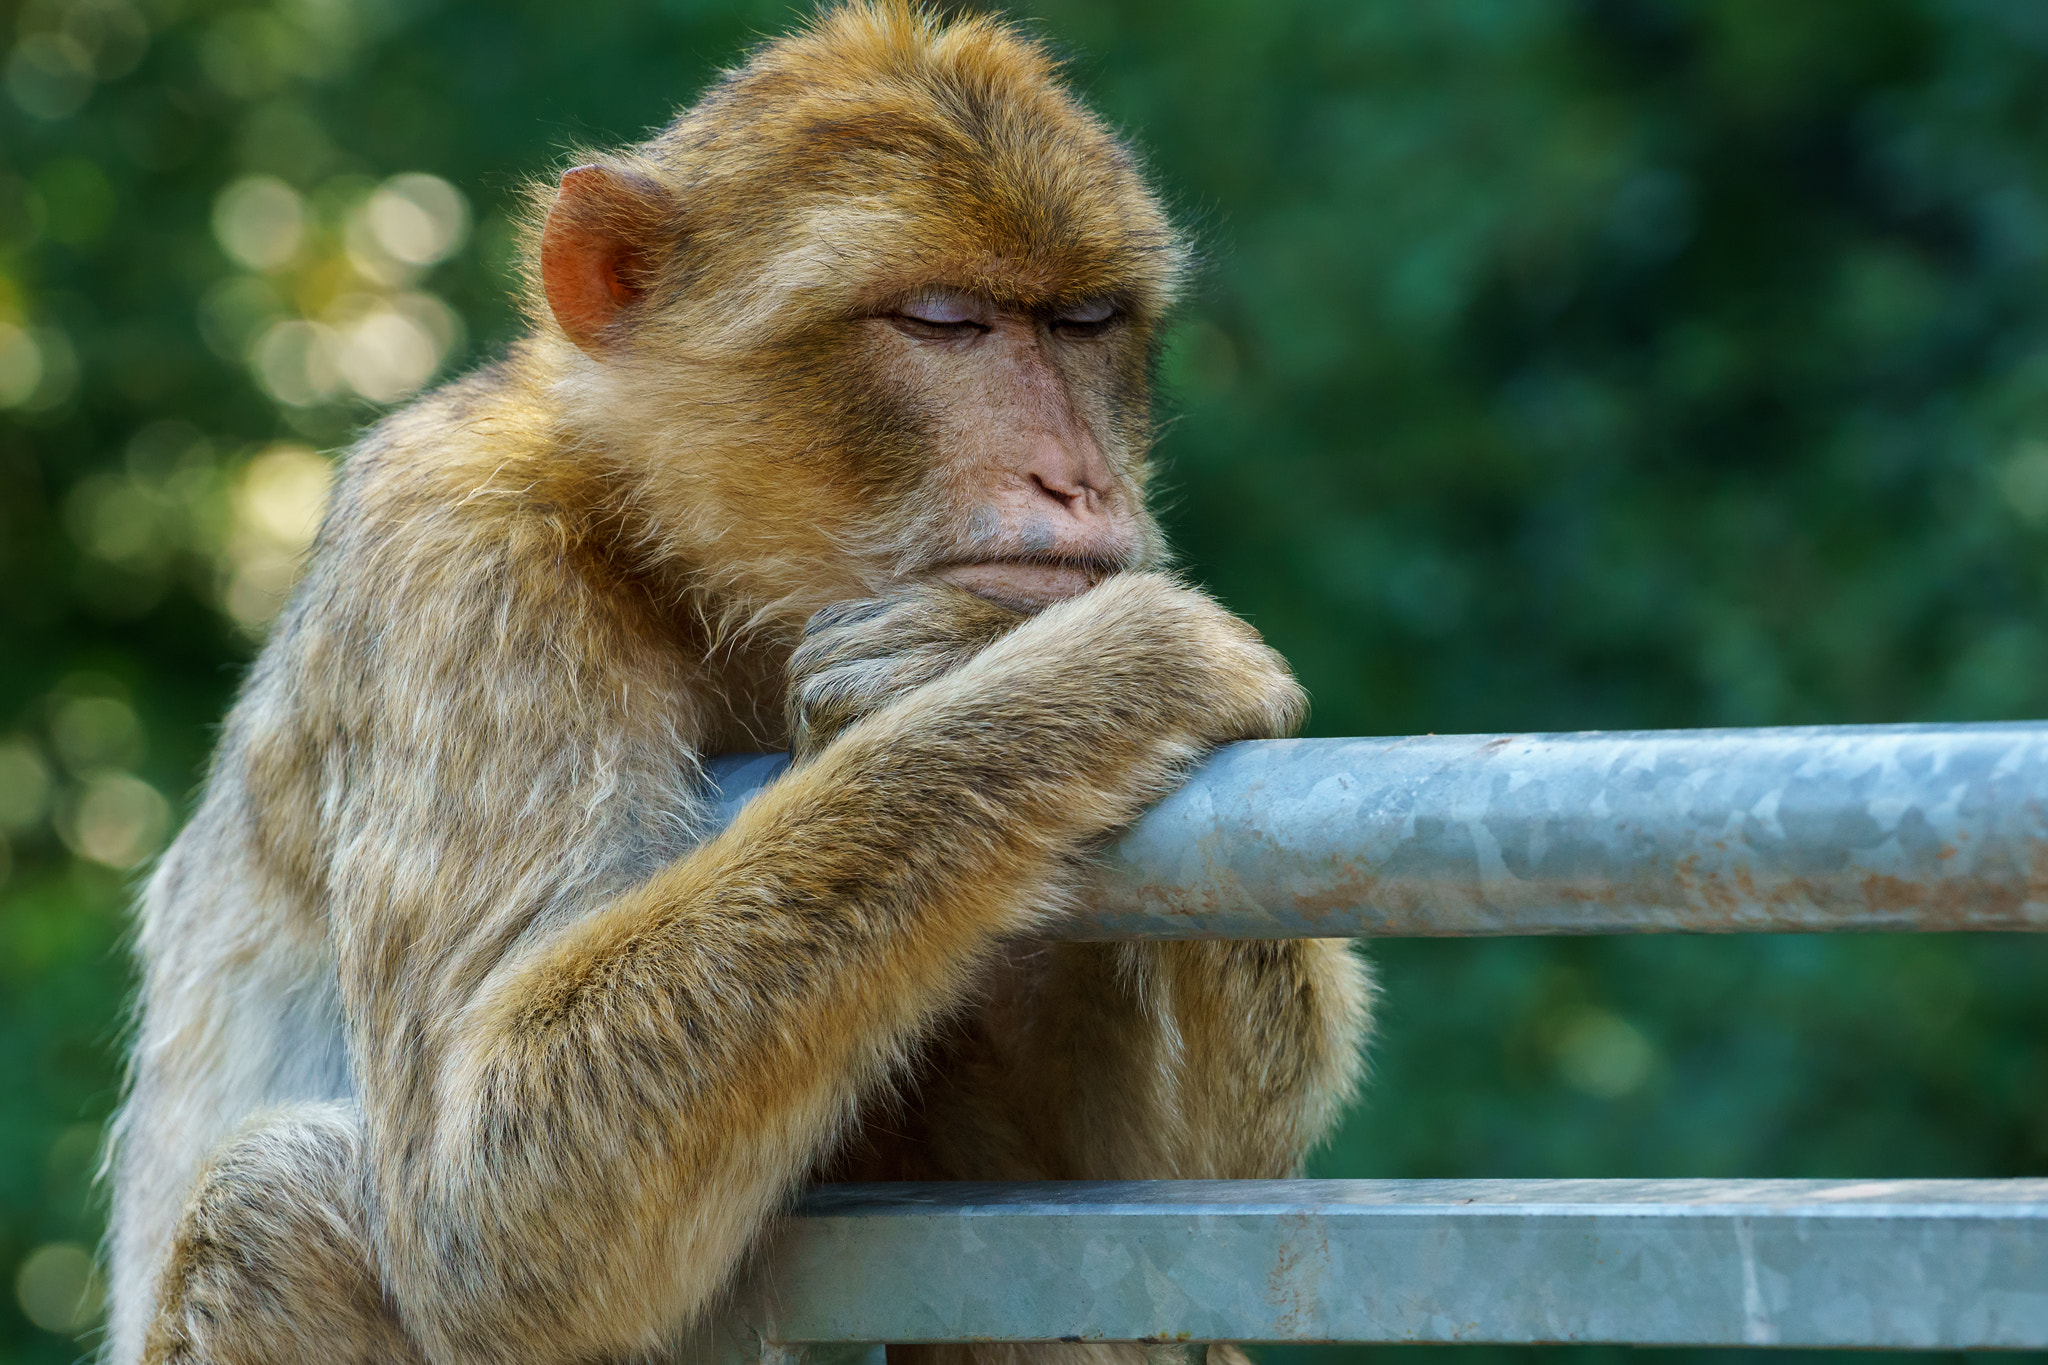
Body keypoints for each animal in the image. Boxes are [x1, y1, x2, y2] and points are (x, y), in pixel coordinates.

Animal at [105, 5, 1373, 1364]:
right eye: (942, 321)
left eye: (1084, 323)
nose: (1075, 480)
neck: (683, 565)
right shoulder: (456, 568)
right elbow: (480, 1206)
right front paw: (1089, 663)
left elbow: (1159, 1194)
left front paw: (952, 653)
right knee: (276, 1198)